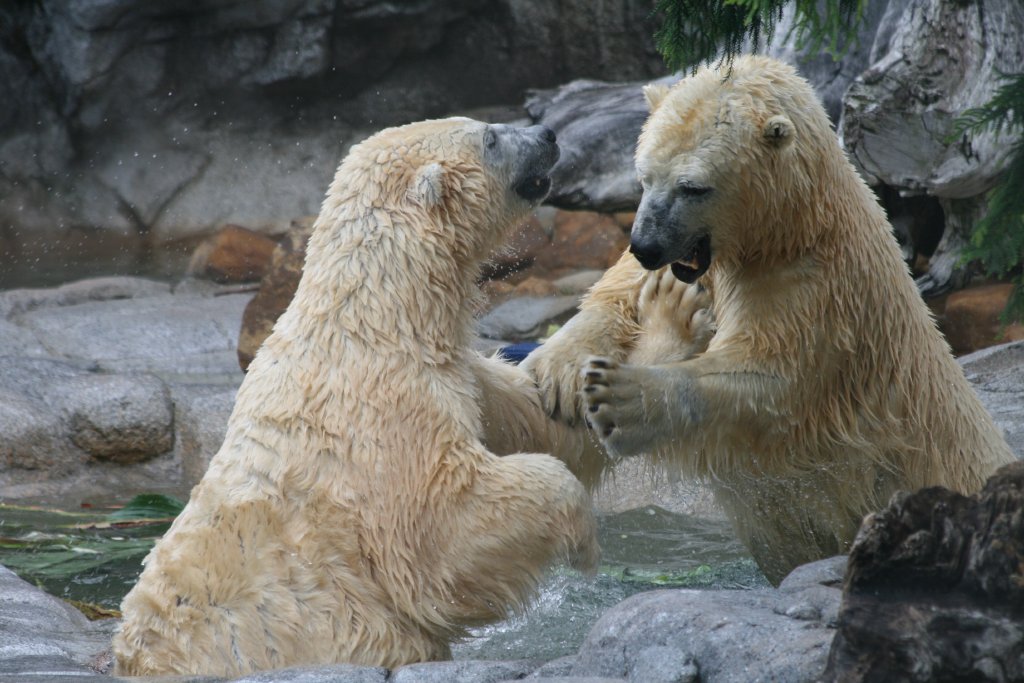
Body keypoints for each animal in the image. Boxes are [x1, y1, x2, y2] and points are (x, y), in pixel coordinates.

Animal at [112, 117, 599, 677]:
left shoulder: (453, 373)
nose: (547, 134)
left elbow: (526, 413)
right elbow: (438, 528)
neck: (376, 320)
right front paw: (583, 538)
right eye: (489, 138)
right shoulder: (384, 410)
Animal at [522, 55, 1015, 585]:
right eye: (644, 177)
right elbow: (618, 290)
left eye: (692, 186)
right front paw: (558, 368)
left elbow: (771, 383)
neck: (793, 228)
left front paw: (621, 398)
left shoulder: (818, 293)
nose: (646, 245)